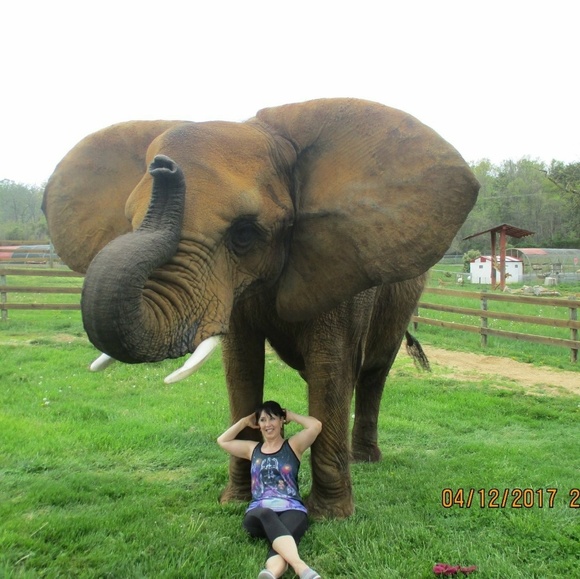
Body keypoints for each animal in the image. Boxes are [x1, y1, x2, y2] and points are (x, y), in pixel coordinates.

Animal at [42, 98, 479, 518]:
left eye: (244, 234)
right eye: (129, 222)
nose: (164, 167)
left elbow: (331, 366)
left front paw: (330, 517)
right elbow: (241, 367)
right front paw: (234, 500)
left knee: (372, 374)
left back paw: (366, 460)